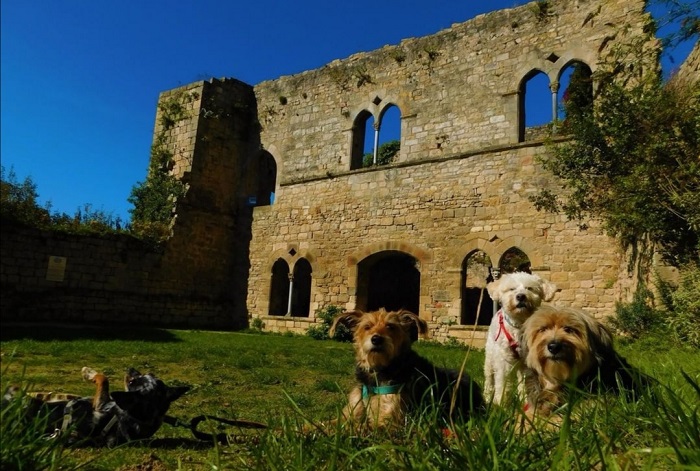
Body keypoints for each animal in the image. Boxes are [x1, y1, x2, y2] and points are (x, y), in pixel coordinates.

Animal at [328, 310, 482, 432]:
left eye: (390, 326)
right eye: (367, 327)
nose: (376, 339)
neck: (377, 375)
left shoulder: (390, 420)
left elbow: (355, 427)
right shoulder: (352, 409)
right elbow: (330, 423)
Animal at [482, 272, 556, 406]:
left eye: (529, 288)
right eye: (512, 289)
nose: (521, 296)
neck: (519, 325)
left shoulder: (528, 362)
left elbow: (526, 383)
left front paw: (527, 403)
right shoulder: (502, 359)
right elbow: (501, 381)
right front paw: (501, 403)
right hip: (490, 356)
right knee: (489, 378)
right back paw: (487, 397)